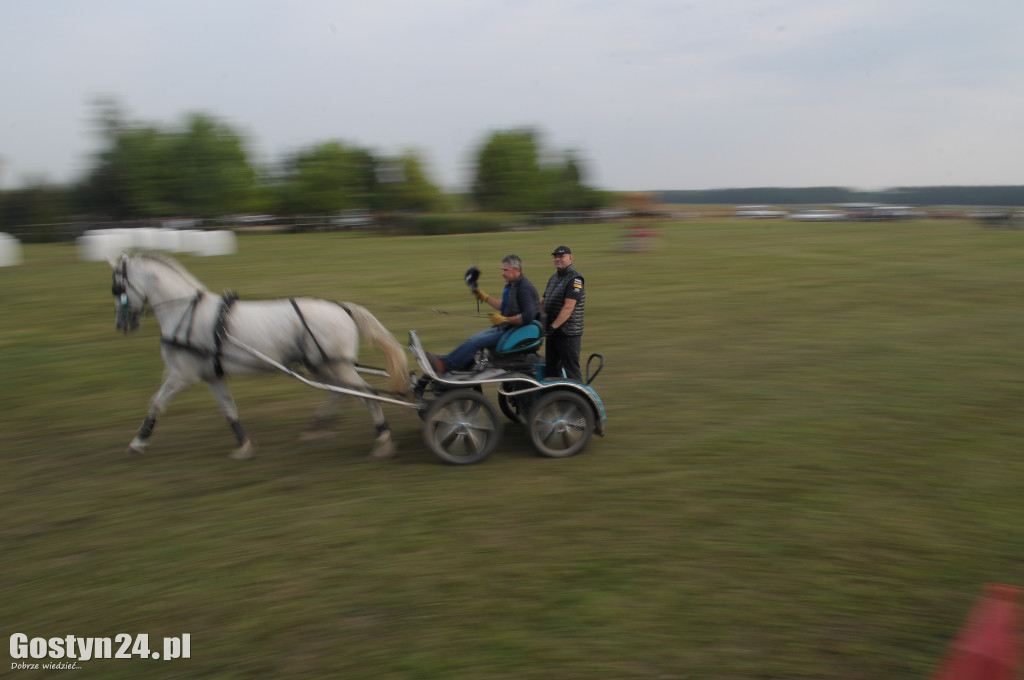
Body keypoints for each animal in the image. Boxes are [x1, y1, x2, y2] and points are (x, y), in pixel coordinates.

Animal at [104, 251, 407, 458]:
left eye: (117, 288)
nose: (122, 324)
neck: (184, 313)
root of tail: (341, 308)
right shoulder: (211, 375)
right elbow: (228, 409)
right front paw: (244, 444)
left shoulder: (182, 375)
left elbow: (156, 404)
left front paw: (137, 443)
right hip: (322, 365)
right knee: (339, 394)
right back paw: (317, 428)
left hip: (336, 366)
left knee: (367, 394)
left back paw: (382, 439)